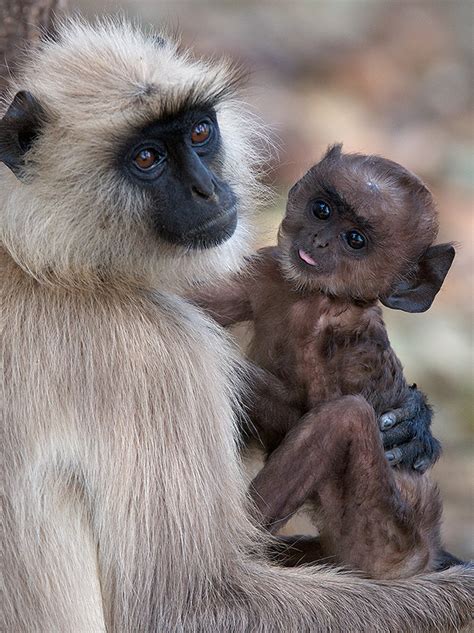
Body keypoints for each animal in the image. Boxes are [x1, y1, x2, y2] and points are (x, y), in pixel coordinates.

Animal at [194, 146, 458, 580]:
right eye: (322, 210)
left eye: (355, 240)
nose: (317, 241)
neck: (314, 300)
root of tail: (428, 548)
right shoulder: (269, 269)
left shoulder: (349, 340)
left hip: (387, 540)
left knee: (345, 416)